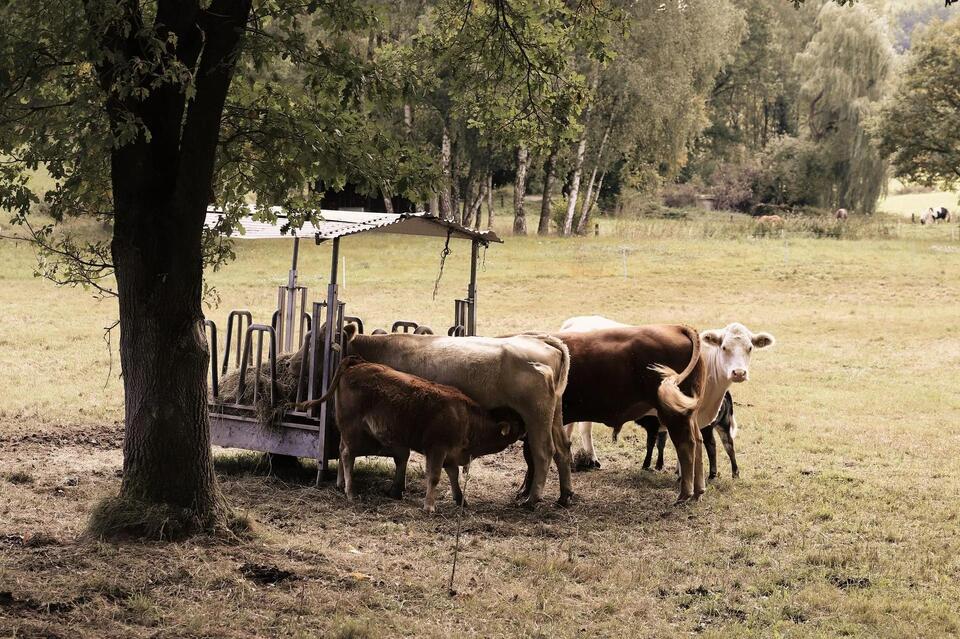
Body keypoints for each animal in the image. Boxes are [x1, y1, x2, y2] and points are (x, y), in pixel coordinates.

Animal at [299, 356, 528, 512]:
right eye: (518, 424)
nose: (527, 432)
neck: (466, 417)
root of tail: (357, 363)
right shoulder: (436, 450)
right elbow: (434, 477)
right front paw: (429, 506)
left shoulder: (451, 455)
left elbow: (453, 476)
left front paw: (461, 499)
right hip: (353, 430)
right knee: (347, 455)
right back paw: (350, 492)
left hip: (347, 432)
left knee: (342, 450)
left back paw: (340, 485)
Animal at [340, 324, 572, 508]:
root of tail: (543, 341)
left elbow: (401, 455)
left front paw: (396, 489)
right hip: (554, 415)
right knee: (563, 449)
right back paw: (564, 496)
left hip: (536, 416)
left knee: (543, 452)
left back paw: (532, 500)